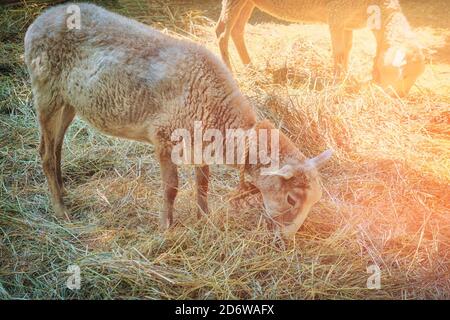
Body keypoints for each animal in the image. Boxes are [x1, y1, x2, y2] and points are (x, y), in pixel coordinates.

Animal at [26, 2, 332, 238]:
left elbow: (203, 183)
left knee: (56, 148)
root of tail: (42, 18)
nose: (288, 238)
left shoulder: (201, 141)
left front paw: (204, 218)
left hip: (68, 101)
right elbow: (171, 187)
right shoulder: (163, 136)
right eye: (292, 198)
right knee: (45, 153)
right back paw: (61, 210)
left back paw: (63, 190)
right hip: (46, 92)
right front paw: (166, 227)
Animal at [216, 0, 424, 95]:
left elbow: (347, 50)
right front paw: (337, 85)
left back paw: (251, 68)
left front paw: (346, 79)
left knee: (237, 30)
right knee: (221, 32)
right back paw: (230, 71)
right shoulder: (337, 16)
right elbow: (339, 52)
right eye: (403, 73)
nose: (400, 96)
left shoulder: (346, 23)